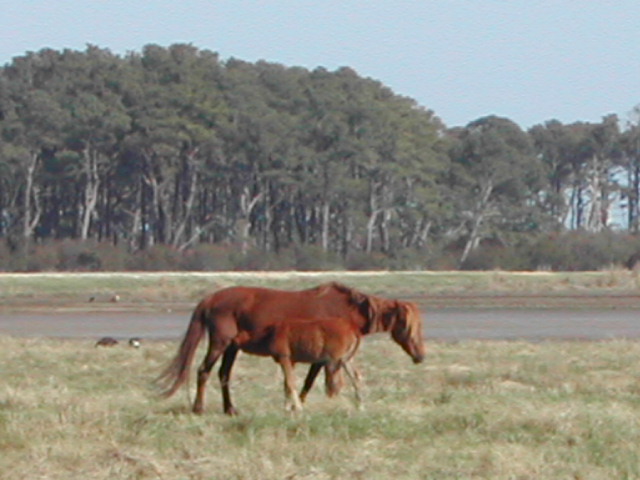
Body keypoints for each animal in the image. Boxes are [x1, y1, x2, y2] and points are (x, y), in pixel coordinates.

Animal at [236, 316, 364, 412]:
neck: (270, 333)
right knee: (355, 377)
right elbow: (286, 384)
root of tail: (351, 327)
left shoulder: (284, 359)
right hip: (346, 361)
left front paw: (297, 407)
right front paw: (287, 407)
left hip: (333, 362)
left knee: (336, 383)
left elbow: (290, 382)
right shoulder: (291, 362)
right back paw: (360, 406)